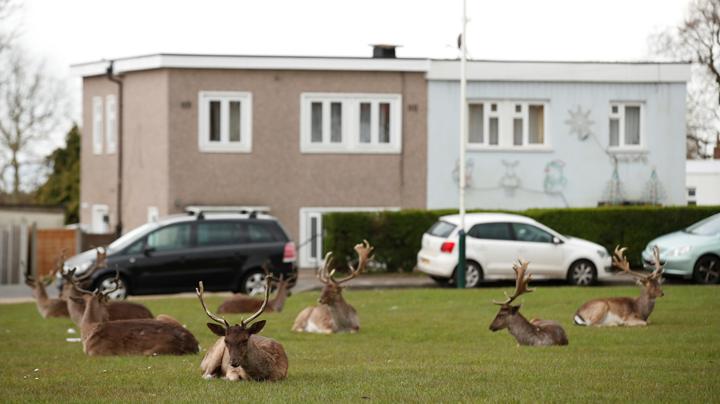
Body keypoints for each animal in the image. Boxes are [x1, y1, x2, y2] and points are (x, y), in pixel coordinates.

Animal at [69, 272, 198, 356]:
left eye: (106, 303)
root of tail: (194, 345)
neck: (89, 329)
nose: (108, 316)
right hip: (162, 316)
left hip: (153, 351)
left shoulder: (97, 352)